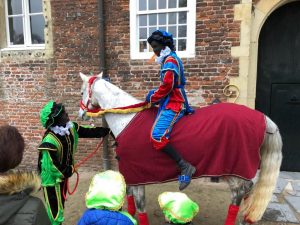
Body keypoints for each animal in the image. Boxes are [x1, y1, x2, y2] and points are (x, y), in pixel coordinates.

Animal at [78, 72, 282, 225]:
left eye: (81, 92)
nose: (81, 115)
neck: (127, 119)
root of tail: (262, 118)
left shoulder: (138, 175)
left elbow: (140, 205)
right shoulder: (131, 174)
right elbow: (130, 200)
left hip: (233, 169)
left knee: (240, 192)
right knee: (247, 190)